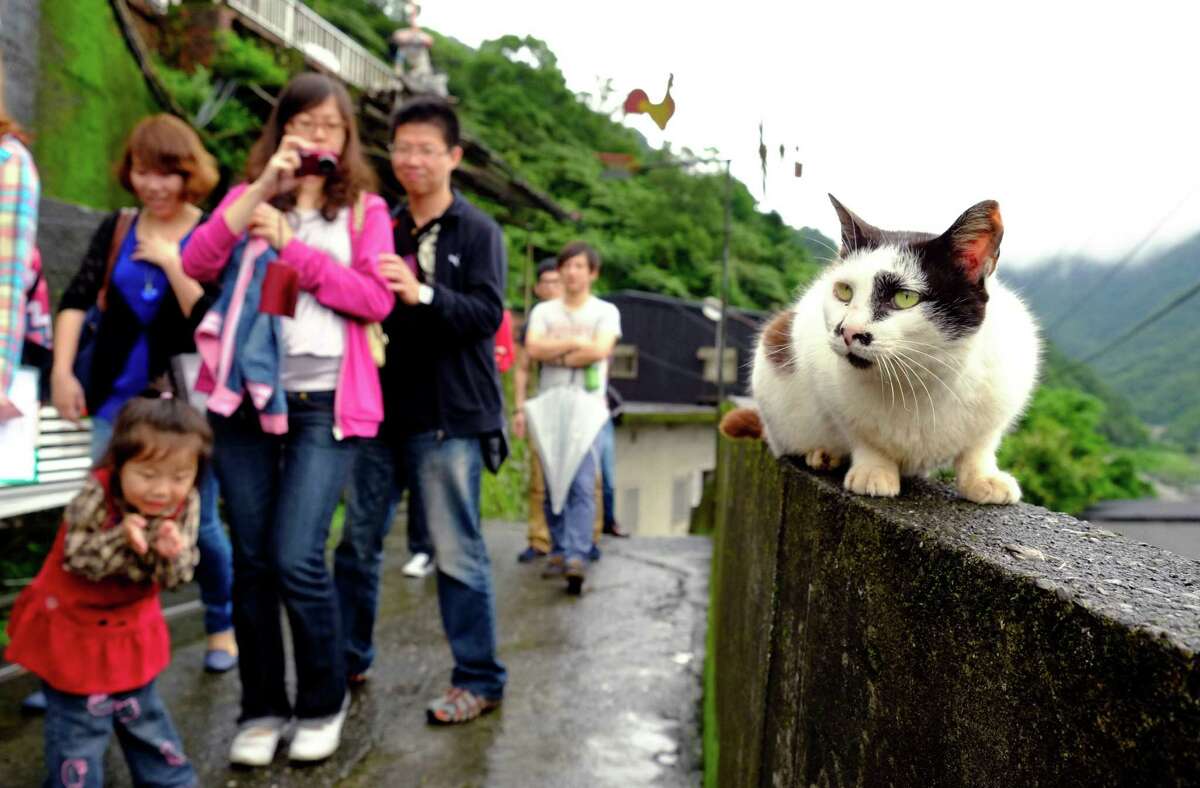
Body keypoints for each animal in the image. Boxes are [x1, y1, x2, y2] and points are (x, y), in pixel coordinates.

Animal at [720, 196, 1041, 503]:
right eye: (844, 292)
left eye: (905, 298)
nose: (847, 331)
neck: (919, 383)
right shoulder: (832, 395)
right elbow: (863, 438)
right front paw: (874, 471)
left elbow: (979, 447)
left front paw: (982, 478)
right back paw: (823, 454)